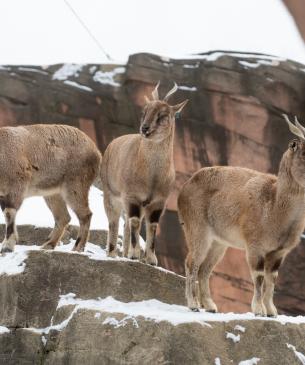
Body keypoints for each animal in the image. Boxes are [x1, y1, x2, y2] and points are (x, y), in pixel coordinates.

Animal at [0, 123, 102, 252]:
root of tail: (96, 152)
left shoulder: (16, 185)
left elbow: (9, 213)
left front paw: (7, 246)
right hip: (53, 193)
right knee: (63, 217)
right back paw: (48, 245)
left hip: (75, 185)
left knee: (85, 215)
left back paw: (77, 247)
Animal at [101, 82, 188, 264]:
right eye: (144, 111)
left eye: (163, 115)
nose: (145, 128)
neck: (151, 177)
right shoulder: (132, 197)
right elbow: (134, 222)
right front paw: (135, 254)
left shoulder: (158, 202)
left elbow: (152, 226)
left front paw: (151, 259)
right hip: (110, 195)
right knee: (114, 222)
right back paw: (112, 253)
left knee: (125, 224)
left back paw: (124, 252)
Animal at [178, 114, 305, 316]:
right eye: (304, 153)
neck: (275, 207)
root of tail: (183, 190)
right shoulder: (254, 246)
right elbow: (259, 277)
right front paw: (259, 310)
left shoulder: (279, 252)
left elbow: (272, 279)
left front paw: (272, 311)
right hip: (197, 230)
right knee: (192, 263)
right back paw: (193, 304)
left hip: (218, 243)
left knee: (205, 269)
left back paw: (211, 306)